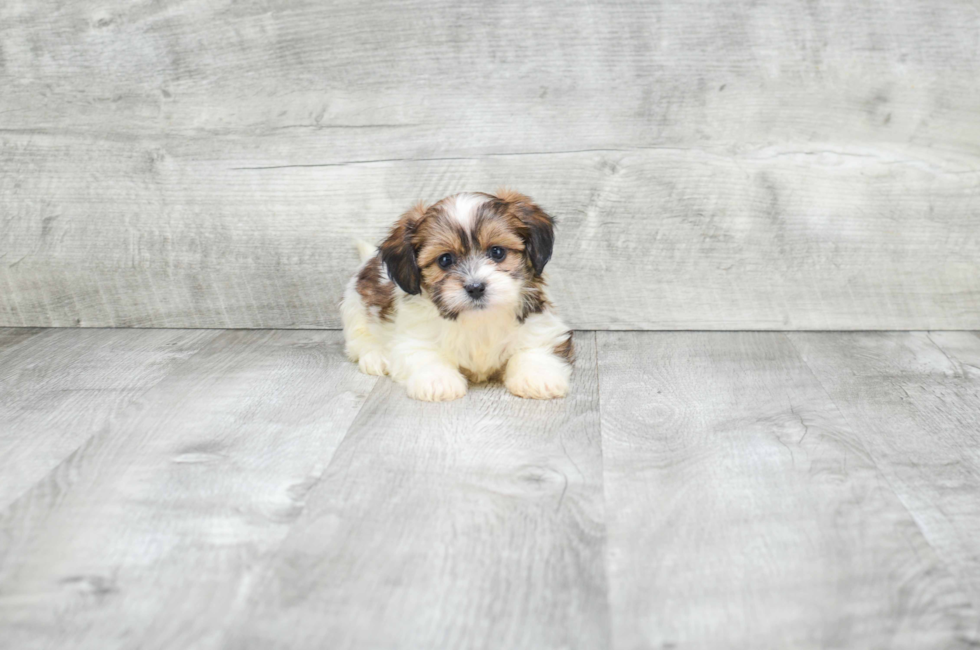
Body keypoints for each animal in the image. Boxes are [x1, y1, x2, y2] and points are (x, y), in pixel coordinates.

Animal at [344, 189, 576, 400]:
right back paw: (375, 357)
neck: (479, 320)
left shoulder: (543, 327)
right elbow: (425, 354)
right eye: (445, 260)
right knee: (360, 341)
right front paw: (438, 381)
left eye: (497, 252)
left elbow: (535, 348)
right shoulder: (413, 338)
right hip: (354, 311)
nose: (475, 287)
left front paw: (538, 376)